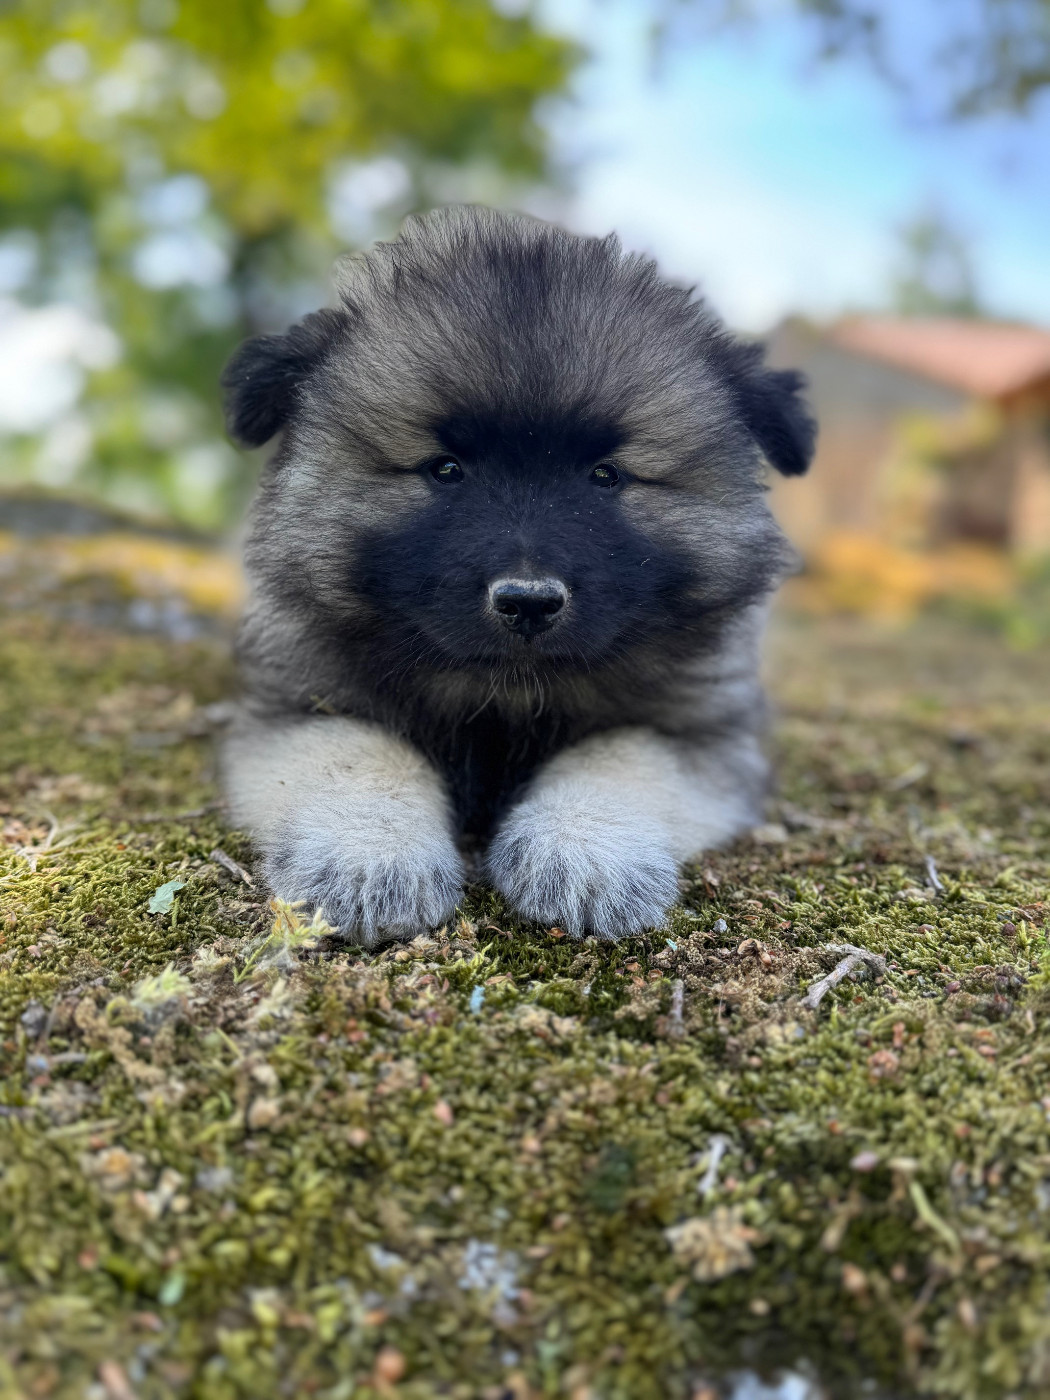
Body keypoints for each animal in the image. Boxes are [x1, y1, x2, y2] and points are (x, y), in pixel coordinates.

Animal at [220, 206, 814, 942]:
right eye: (446, 468)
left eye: (606, 475)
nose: (528, 602)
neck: (501, 698)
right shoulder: (295, 704)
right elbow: (356, 751)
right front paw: (370, 854)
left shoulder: (701, 733)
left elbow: (621, 757)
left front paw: (583, 850)